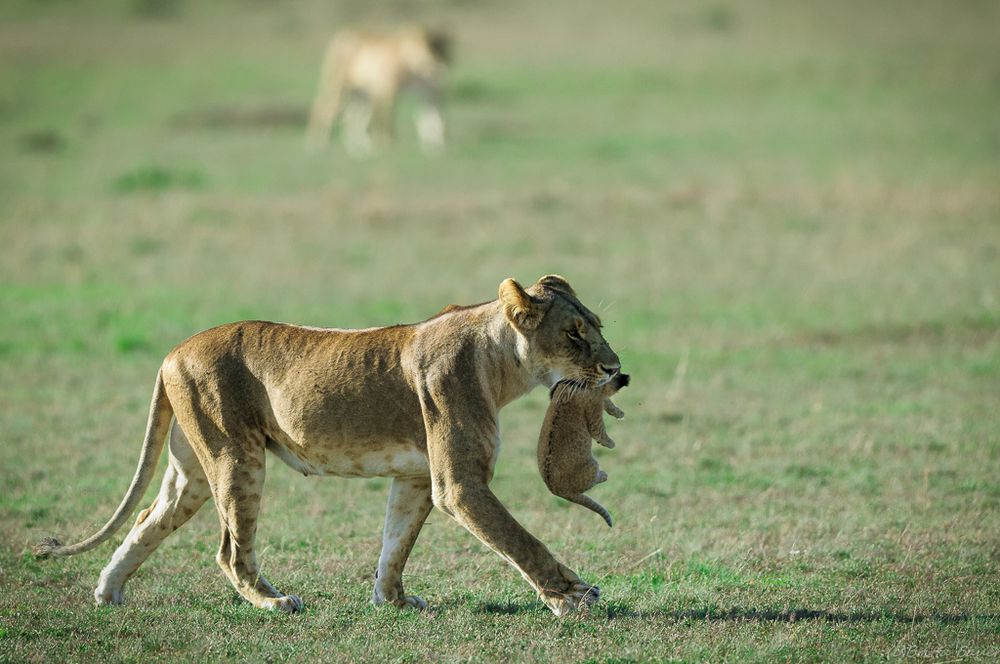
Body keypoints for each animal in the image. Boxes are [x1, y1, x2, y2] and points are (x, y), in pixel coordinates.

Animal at [304, 26, 454, 155]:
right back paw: (318, 144)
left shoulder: (429, 94)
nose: (442, 69)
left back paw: (359, 149)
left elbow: (433, 118)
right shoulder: (387, 91)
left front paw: (436, 148)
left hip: (359, 94)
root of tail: (342, 35)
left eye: (445, 50)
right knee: (324, 108)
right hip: (339, 87)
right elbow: (386, 119)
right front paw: (387, 146)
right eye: (430, 49)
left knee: (352, 116)